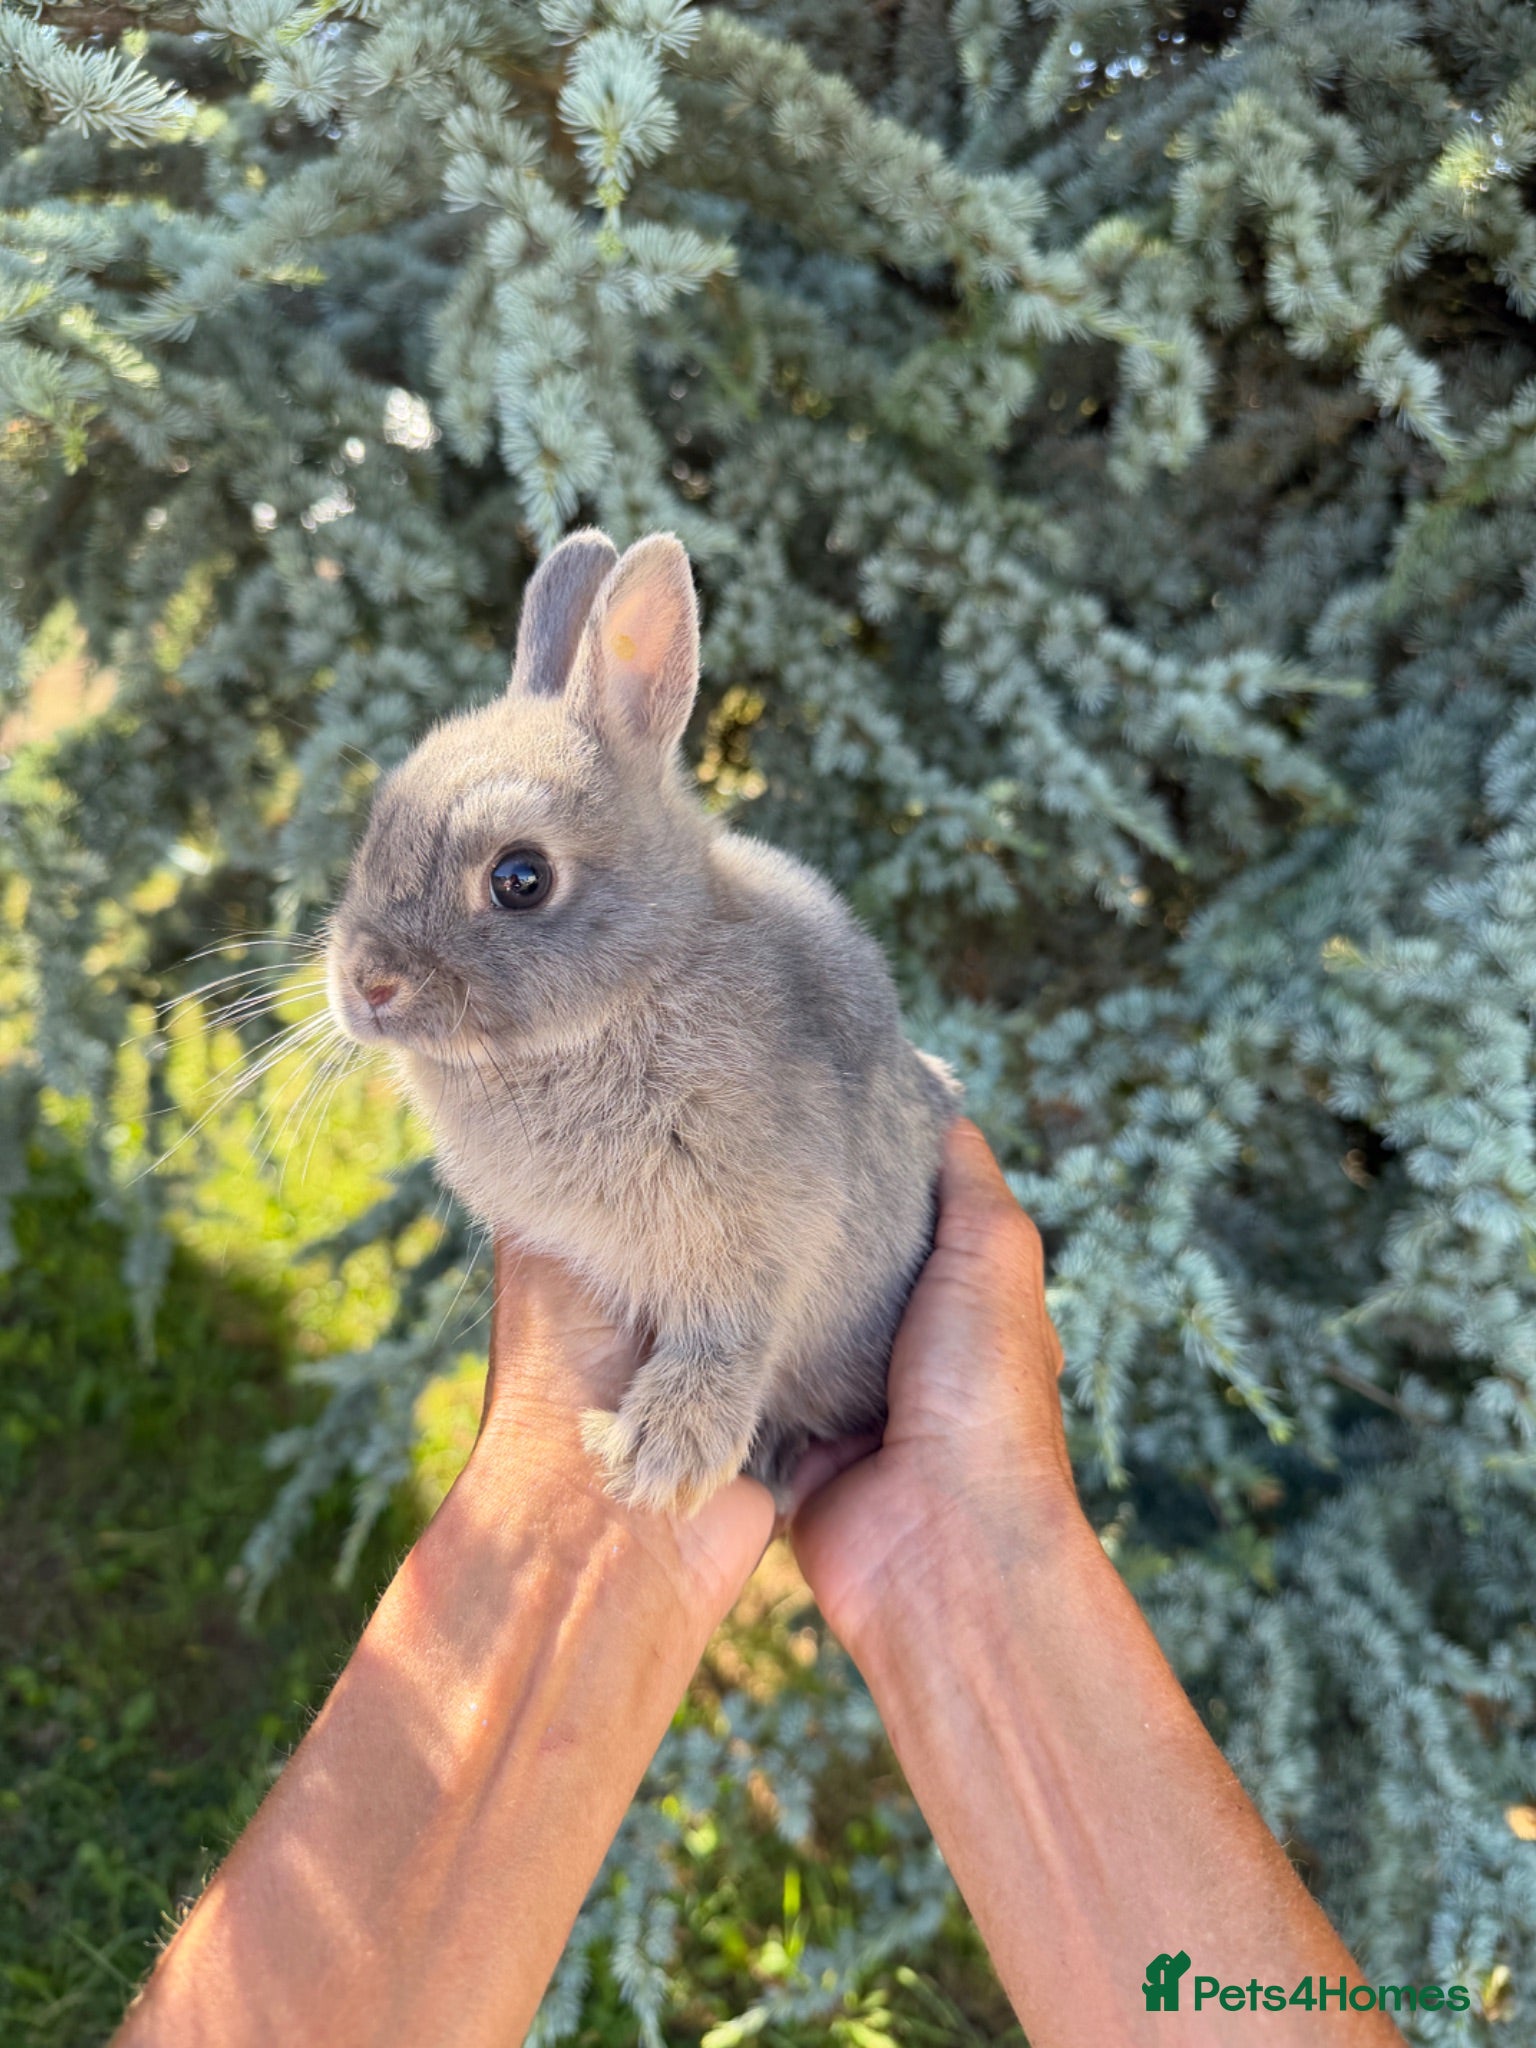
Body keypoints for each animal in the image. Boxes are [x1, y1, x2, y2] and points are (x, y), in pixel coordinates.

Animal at [325, 527, 960, 1515]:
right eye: (374, 832)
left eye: (520, 878)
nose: (365, 986)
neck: (636, 986)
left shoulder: (766, 1225)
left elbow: (732, 1326)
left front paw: (660, 1455)